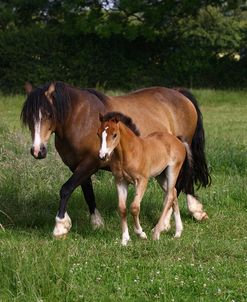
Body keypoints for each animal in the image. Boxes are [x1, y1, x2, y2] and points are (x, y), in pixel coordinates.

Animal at [97, 112, 192, 245]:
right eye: (98, 133)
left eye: (114, 134)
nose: (103, 155)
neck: (128, 153)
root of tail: (177, 140)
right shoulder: (120, 181)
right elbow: (122, 208)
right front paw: (125, 239)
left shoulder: (142, 180)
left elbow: (134, 207)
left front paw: (140, 233)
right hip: (160, 176)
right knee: (173, 193)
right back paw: (178, 232)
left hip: (173, 171)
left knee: (169, 196)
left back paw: (157, 232)